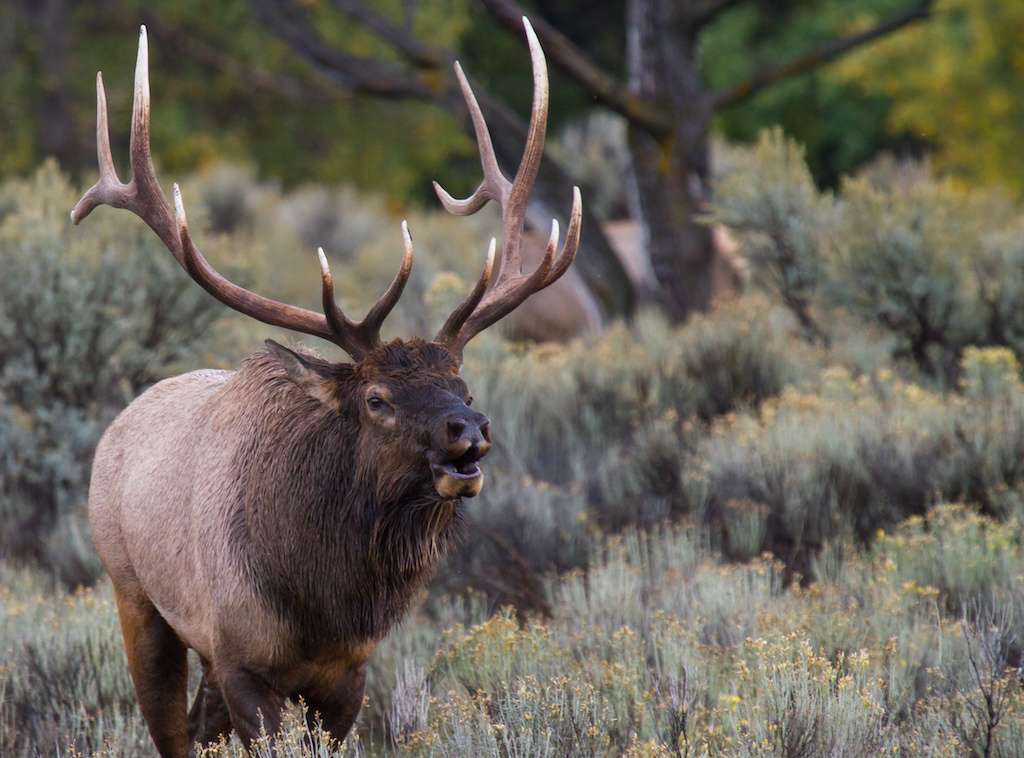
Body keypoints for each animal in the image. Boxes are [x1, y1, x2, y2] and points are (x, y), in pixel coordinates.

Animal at [71, 20, 580, 757]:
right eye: (376, 400)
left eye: (464, 387)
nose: (470, 431)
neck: (318, 603)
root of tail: (120, 422)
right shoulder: (240, 655)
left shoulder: (349, 671)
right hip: (133, 592)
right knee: (172, 731)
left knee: (196, 728)